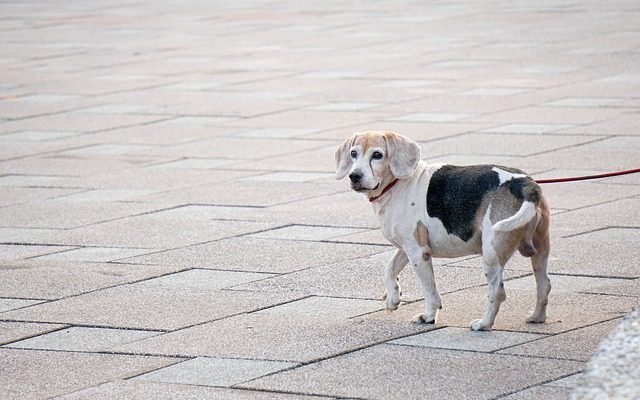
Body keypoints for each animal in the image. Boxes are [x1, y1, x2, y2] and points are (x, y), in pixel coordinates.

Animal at [336, 131, 552, 332]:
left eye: (377, 155)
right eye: (353, 154)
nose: (354, 176)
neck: (396, 185)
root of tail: (524, 184)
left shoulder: (418, 253)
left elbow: (429, 290)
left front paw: (428, 316)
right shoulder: (408, 246)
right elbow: (389, 268)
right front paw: (393, 297)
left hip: (491, 254)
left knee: (497, 293)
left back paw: (483, 324)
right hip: (540, 251)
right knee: (544, 285)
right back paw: (536, 317)